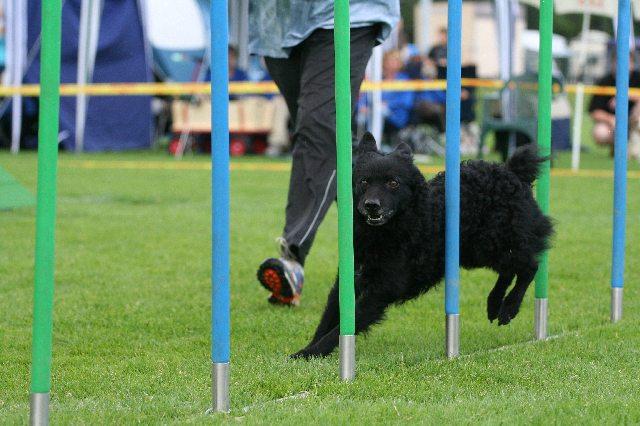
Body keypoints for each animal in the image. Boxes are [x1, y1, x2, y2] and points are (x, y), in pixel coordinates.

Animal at [291, 132, 553, 359]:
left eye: (393, 183)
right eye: (364, 181)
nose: (371, 205)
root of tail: (511, 171)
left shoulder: (382, 289)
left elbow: (344, 326)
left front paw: (312, 352)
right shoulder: (350, 279)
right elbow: (329, 318)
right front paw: (308, 349)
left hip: (491, 241)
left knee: (529, 265)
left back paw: (509, 307)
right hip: (477, 251)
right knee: (510, 268)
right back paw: (493, 304)